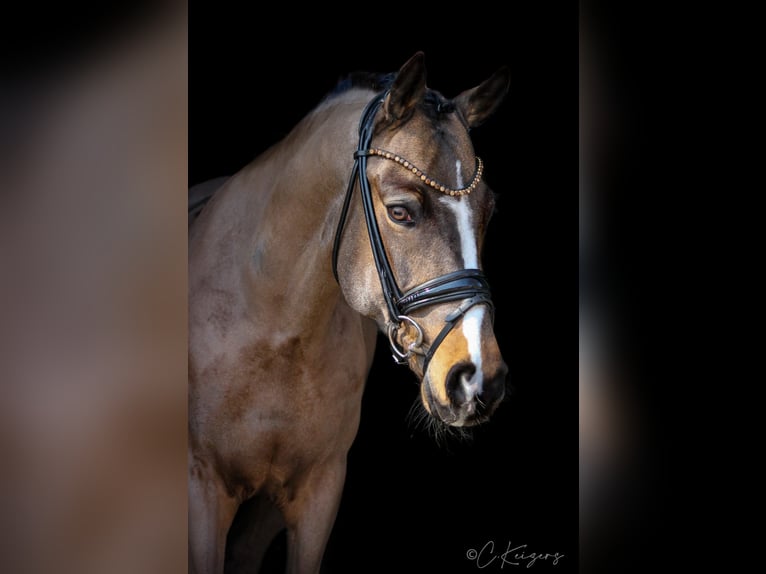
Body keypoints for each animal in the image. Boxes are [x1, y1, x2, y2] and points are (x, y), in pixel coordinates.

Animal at [191, 51, 512, 572]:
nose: (478, 379)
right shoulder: (202, 487)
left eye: (487, 213)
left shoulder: (318, 494)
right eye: (401, 211)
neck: (275, 329)